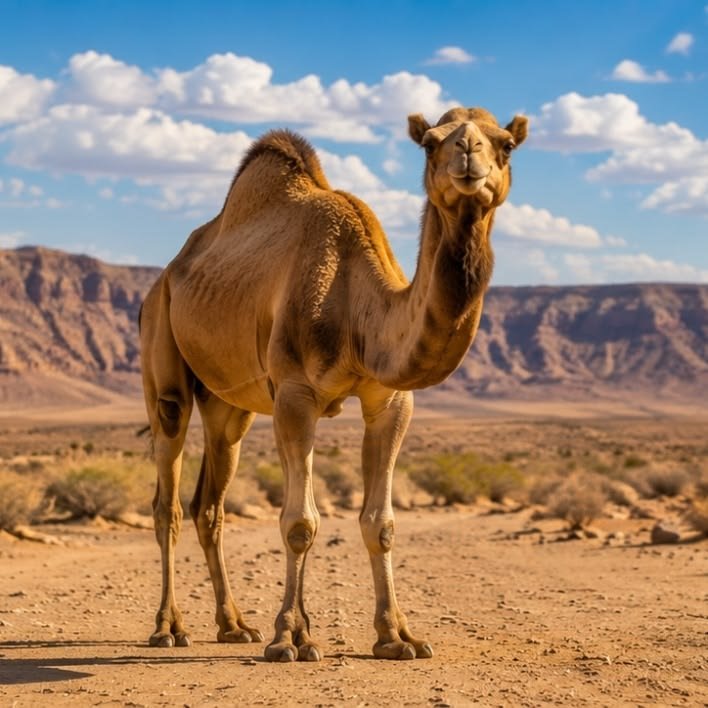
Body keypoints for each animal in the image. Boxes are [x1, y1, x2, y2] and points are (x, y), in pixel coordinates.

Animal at [139, 106, 528, 661]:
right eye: (430, 142)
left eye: (506, 145)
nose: (469, 156)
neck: (356, 305)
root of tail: (166, 276)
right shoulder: (295, 395)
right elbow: (300, 522)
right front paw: (289, 638)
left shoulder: (390, 400)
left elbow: (380, 522)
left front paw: (397, 637)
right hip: (164, 362)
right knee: (167, 501)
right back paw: (169, 627)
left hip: (228, 406)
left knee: (208, 505)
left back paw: (234, 625)